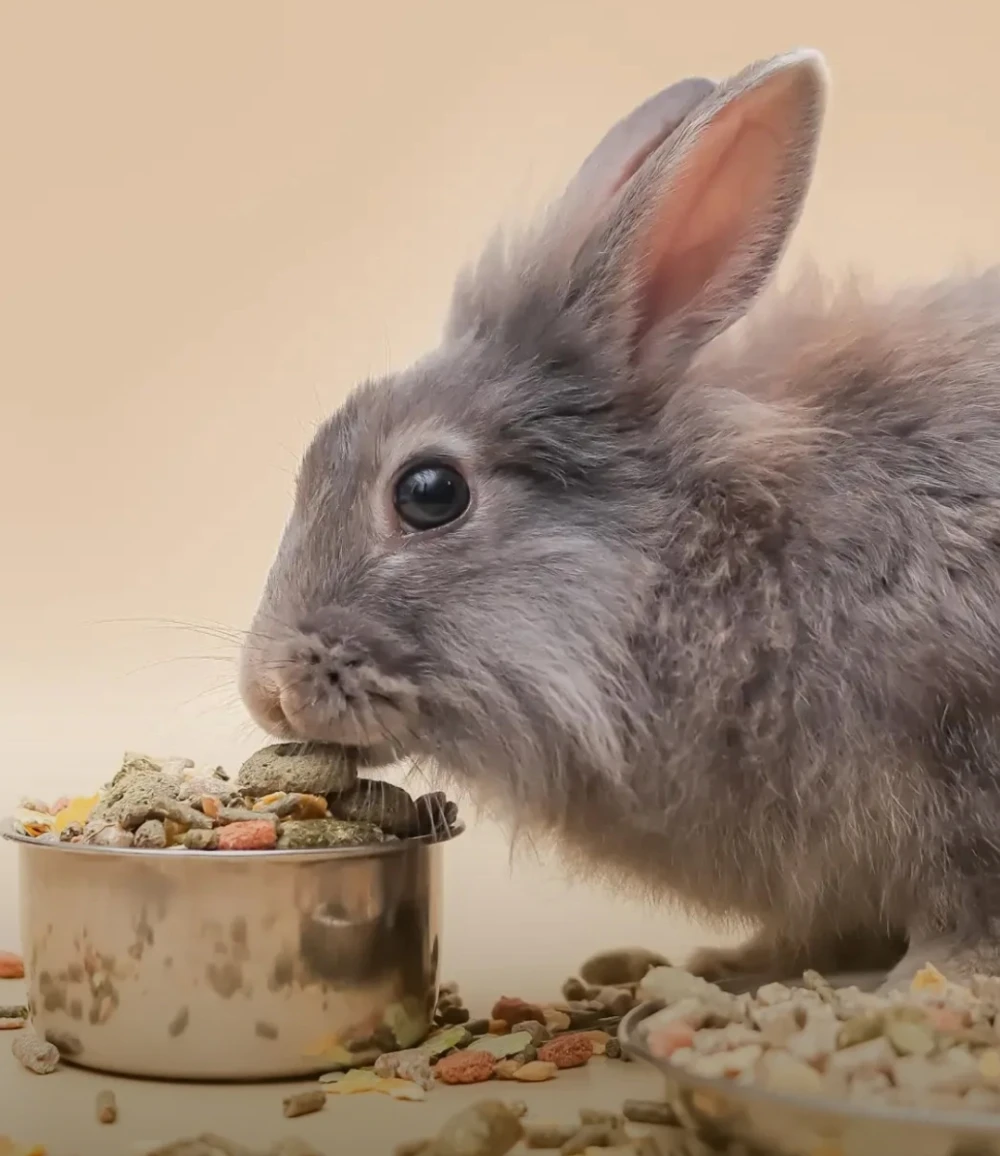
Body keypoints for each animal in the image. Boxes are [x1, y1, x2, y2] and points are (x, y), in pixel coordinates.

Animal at [239, 46, 1000, 991]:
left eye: (429, 492)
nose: (266, 691)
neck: (684, 566)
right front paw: (738, 966)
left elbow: (959, 912)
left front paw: (922, 983)